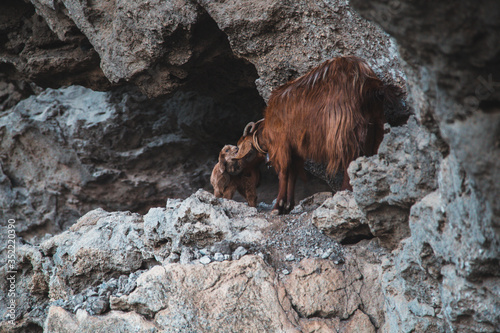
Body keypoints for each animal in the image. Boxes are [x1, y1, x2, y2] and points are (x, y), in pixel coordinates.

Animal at [232, 56, 392, 214]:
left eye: (247, 153)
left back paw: (345, 190)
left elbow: (283, 174)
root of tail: (368, 82)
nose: (237, 169)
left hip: (345, 129)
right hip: (378, 123)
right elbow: (292, 175)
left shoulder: (281, 145)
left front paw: (278, 206)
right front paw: (287, 206)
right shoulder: (294, 150)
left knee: (349, 158)